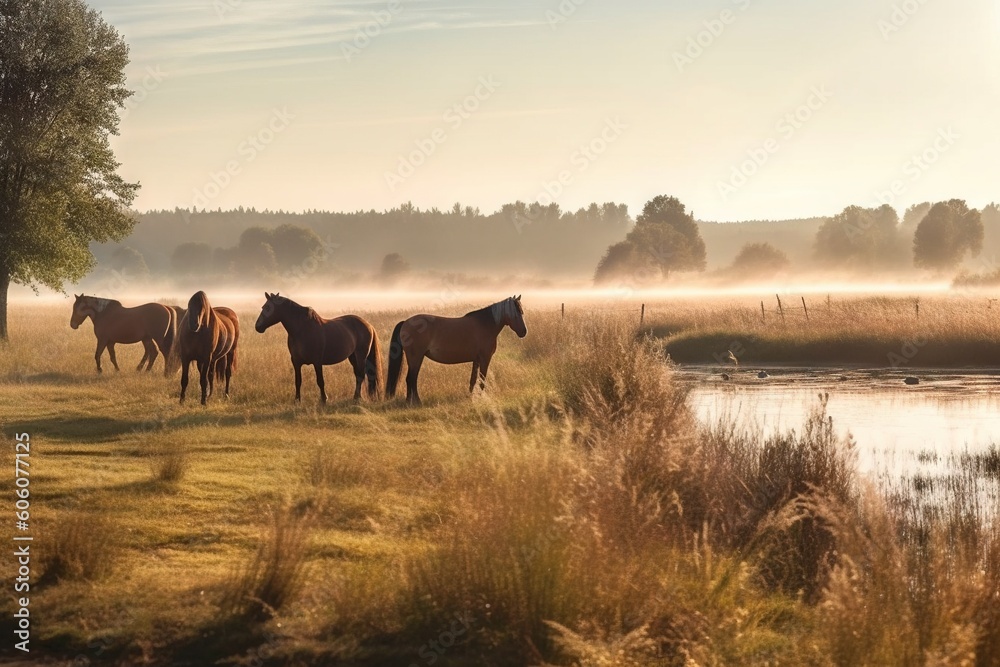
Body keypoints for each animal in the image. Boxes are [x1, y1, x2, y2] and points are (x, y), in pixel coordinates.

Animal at [254, 292, 382, 402]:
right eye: (263, 307)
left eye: (267, 308)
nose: (257, 327)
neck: (302, 330)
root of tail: (368, 325)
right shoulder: (296, 362)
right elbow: (298, 381)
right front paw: (297, 400)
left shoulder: (317, 361)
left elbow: (320, 381)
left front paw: (324, 399)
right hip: (352, 356)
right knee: (358, 375)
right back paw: (356, 396)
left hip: (361, 355)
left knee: (361, 374)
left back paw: (357, 397)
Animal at [384, 298, 528, 408]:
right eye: (517, 313)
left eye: (522, 312)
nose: (524, 332)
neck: (485, 325)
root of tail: (406, 322)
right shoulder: (485, 359)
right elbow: (482, 379)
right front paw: (481, 397)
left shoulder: (476, 360)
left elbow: (473, 379)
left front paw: (471, 396)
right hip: (416, 359)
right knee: (411, 379)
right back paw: (415, 402)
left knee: (411, 379)